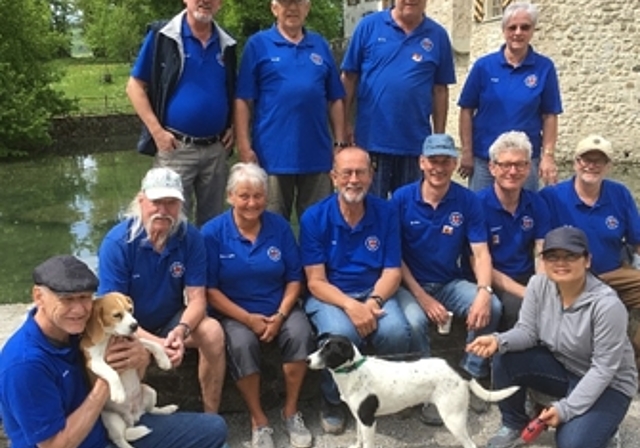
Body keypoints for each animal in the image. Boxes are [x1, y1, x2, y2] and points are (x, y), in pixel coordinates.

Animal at [82, 292, 180, 448]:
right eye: (117, 315)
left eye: (130, 309)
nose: (135, 325)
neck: (111, 336)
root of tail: (133, 418)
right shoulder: (94, 361)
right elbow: (112, 372)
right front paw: (119, 393)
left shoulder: (134, 342)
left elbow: (152, 344)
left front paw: (164, 360)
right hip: (112, 420)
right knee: (120, 440)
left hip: (150, 391)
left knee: (151, 410)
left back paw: (167, 409)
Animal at [306, 336, 520, 448]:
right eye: (320, 347)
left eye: (328, 351)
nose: (306, 360)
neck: (354, 371)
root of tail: (458, 369)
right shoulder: (360, 418)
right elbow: (359, 438)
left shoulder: (368, 420)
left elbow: (367, 442)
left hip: (453, 418)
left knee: (470, 444)